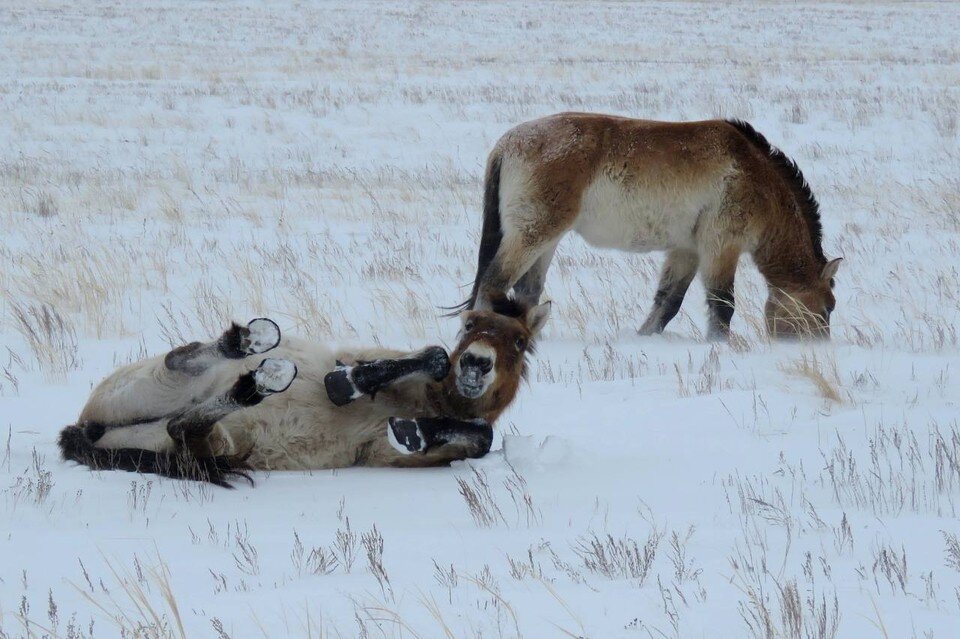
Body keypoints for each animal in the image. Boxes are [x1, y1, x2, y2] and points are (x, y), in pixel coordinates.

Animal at [60, 298, 552, 488]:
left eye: (519, 341)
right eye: (468, 326)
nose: (476, 364)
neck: (434, 403)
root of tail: (87, 427)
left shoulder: (384, 453)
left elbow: (481, 436)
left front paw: (414, 432)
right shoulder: (368, 354)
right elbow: (427, 356)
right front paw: (347, 384)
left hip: (211, 440)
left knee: (185, 427)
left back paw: (260, 379)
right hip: (156, 385)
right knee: (178, 362)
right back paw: (252, 345)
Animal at [462, 111, 844, 340]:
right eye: (828, 307)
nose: (816, 349)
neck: (756, 176)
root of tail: (506, 144)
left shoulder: (687, 250)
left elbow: (668, 302)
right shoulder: (721, 247)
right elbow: (722, 304)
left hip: (546, 240)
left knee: (527, 291)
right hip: (532, 235)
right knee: (493, 283)